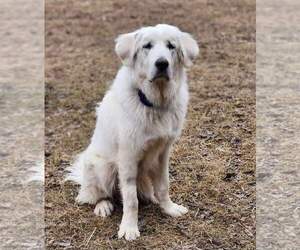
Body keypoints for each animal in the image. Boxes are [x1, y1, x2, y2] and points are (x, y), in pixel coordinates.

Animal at [67, 23, 200, 240]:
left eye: (171, 46)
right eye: (147, 46)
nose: (162, 63)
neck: (154, 103)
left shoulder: (163, 152)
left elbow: (163, 185)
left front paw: (169, 208)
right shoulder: (128, 156)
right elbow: (130, 199)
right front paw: (129, 228)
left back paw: (151, 198)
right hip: (103, 167)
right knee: (96, 195)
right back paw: (103, 206)